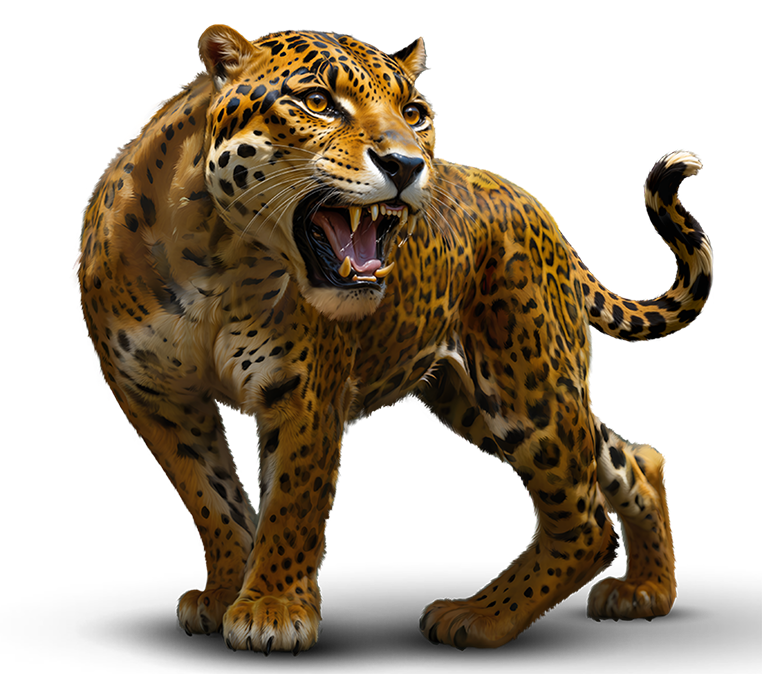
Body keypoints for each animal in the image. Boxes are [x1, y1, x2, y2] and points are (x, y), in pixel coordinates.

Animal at [74, 23, 713, 653]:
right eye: (317, 102)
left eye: (414, 112)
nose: (404, 165)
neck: (219, 258)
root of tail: (537, 209)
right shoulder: (157, 398)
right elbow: (212, 498)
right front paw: (227, 589)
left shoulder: (306, 393)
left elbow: (293, 502)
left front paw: (272, 610)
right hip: (475, 397)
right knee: (633, 459)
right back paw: (646, 590)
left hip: (527, 386)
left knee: (584, 521)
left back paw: (481, 615)